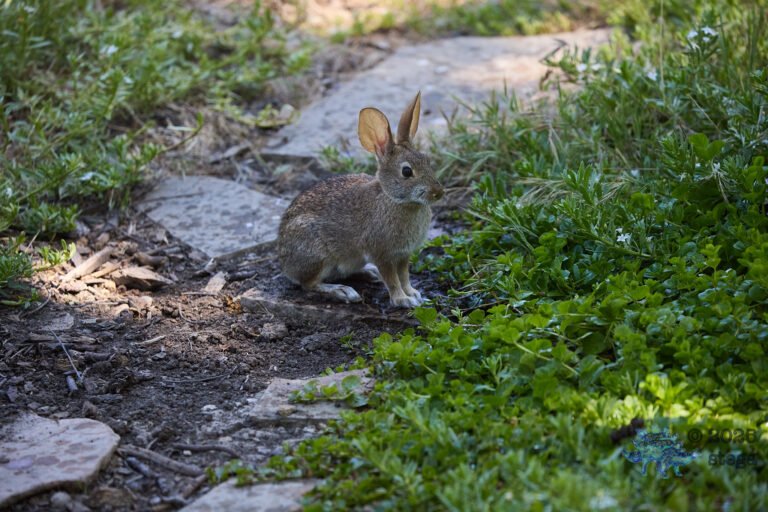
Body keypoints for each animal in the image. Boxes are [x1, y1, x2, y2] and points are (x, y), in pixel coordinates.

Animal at [277, 91, 444, 308]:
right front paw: (402, 301)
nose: (438, 192)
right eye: (407, 172)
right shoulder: (382, 253)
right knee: (309, 284)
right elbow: (392, 279)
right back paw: (342, 291)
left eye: (427, 160)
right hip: (316, 253)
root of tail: (284, 262)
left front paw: (414, 294)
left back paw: (368, 273)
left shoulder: (403, 254)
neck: (395, 200)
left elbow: (404, 276)